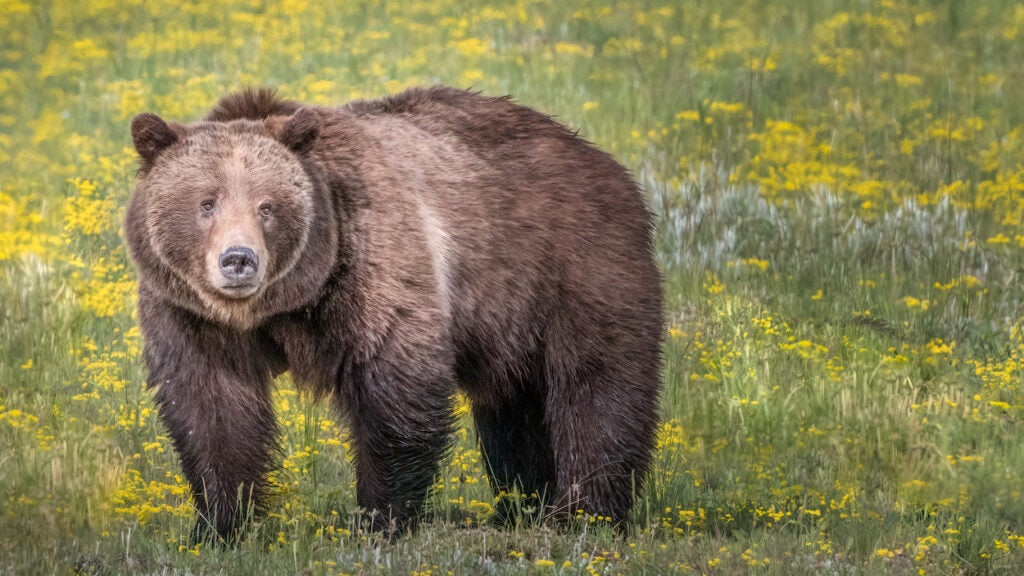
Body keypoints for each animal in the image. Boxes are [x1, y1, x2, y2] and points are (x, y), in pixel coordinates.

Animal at [125, 85, 663, 537]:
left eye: (267, 206)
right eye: (207, 202)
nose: (238, 259)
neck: (281, 306)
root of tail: (599, 156)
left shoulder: (372, 265)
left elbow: (397, 386)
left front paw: (379, 519)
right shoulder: (191, 315)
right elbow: (211, 407)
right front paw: (220, 526)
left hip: (576, 266)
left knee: (595, 388)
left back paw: (586, 515)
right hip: (511, 321)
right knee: (514, 409)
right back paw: (523, 507)